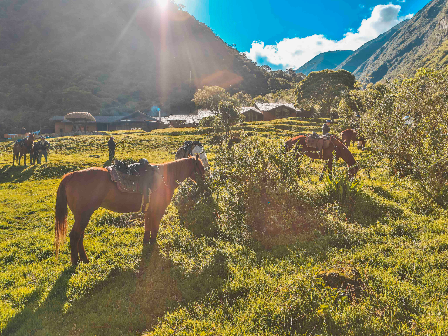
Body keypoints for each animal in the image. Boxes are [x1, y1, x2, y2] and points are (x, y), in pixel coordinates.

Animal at [54, 156, 206, 266]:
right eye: (201, 167)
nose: (205, 184)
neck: (164, 179)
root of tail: (72, 175)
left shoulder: (149, 211)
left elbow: (147, 227)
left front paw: (146, 244)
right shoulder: (158, 211)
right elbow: (154, 228)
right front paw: (153, 245)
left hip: (83, 216)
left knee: (80, 236)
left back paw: (84, 259)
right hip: (83, 216)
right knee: (75, 236)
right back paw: (75, 262)